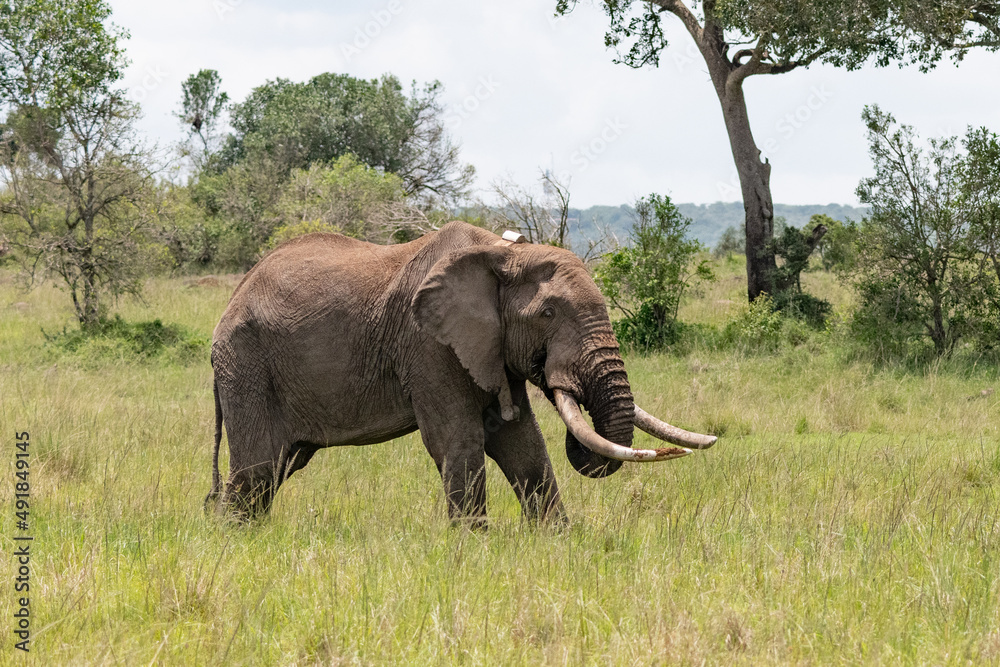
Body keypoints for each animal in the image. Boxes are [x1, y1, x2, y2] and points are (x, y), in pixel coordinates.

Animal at [205, 221, 716, 524]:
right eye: (548, 314)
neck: (502, 254)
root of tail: (233, 297)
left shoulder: (490, 350)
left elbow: (523, 443)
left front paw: (558, 544)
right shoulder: (429, 346)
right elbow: (460, 440)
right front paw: (474, 550)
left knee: (276, 468)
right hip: (246, 364)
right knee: (257, 468)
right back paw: (236, 545)